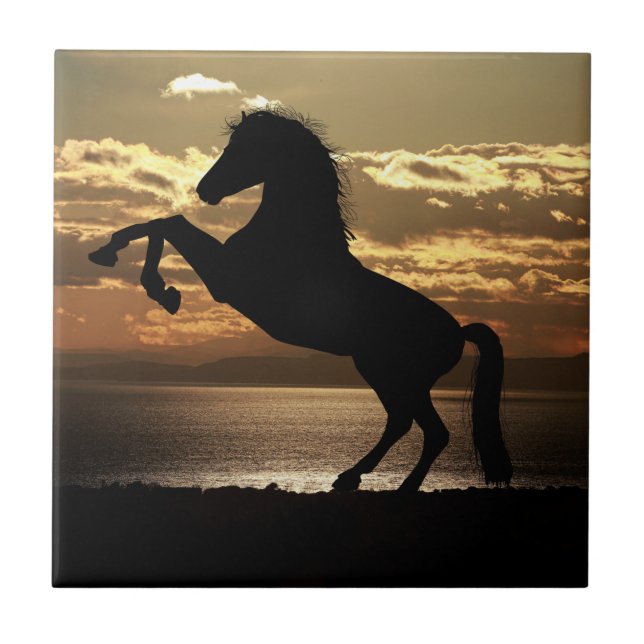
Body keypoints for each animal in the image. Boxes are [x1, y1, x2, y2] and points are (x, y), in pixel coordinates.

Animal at [88, 106, 513, 492]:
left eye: (244, 148)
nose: (204, 190)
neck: (291, 236)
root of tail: (459, 331)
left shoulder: (226, 279)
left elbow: (169, 224)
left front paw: (156, 287)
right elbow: (161, 224)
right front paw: (114, 257)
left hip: (395, 375)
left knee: (428, 429)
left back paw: (396, 486)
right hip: (385, 373)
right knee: (403, 422)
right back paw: (351, 477)